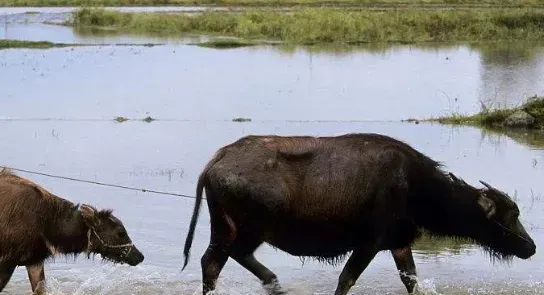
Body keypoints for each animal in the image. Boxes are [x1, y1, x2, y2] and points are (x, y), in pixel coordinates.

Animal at [182, 134, 536, 295]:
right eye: (510, 214)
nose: (531, 247)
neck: (414, 185)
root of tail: (217, 161)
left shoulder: (400, 243)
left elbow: (410, 278)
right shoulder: (369, 244)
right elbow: (347, 279)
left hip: (241, 230)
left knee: (231, 258)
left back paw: (274, 284)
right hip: (235, 229)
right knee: (213, 262)